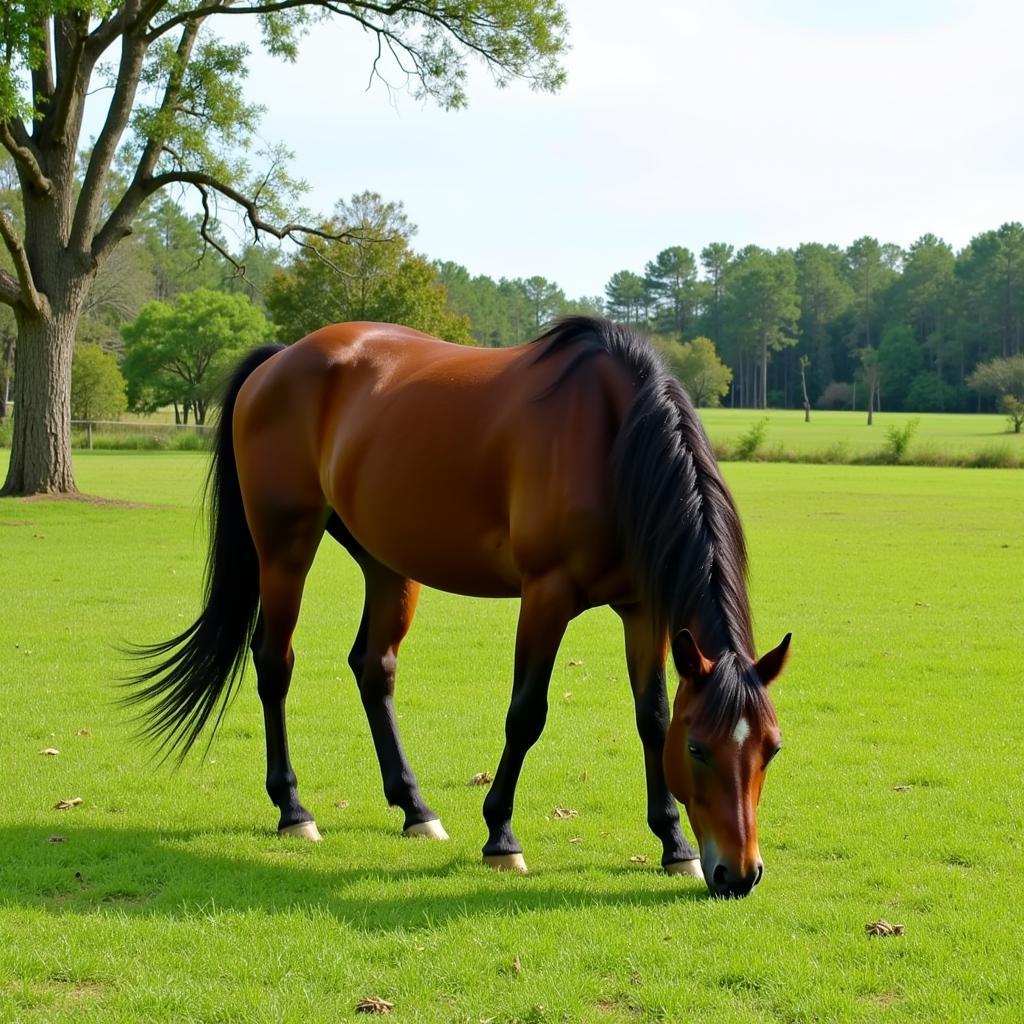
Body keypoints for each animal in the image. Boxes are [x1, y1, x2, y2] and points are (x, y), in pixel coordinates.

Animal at [123, 313, 786, 897]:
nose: (739, 875)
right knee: (274, 664)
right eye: (698, 749)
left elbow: (650, 717)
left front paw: (674, 846)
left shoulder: (643, 609)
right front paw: (501, 838)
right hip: (285, 547)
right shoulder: (546, 594)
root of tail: (281, 358)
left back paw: (415, 808)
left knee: (373, 668)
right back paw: (294, 809)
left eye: (771, 748)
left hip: (386, 560)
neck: (612, 438)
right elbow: (527, 714)